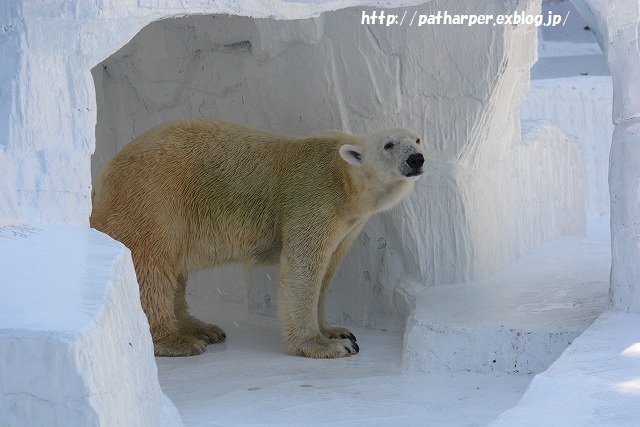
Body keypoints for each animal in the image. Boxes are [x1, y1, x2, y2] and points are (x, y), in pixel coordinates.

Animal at [89, 118, 420, 360]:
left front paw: (336, 330)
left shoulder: (349, 224)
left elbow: (326, 273)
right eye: (389, 144)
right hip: (152, 198)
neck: (345, 179)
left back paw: (202, 329)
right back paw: (176, 341)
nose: (417, 159)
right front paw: (326, 345)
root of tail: (103, 178)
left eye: (417, 139)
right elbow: (303, 270)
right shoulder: (315, 197)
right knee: (151, 265)